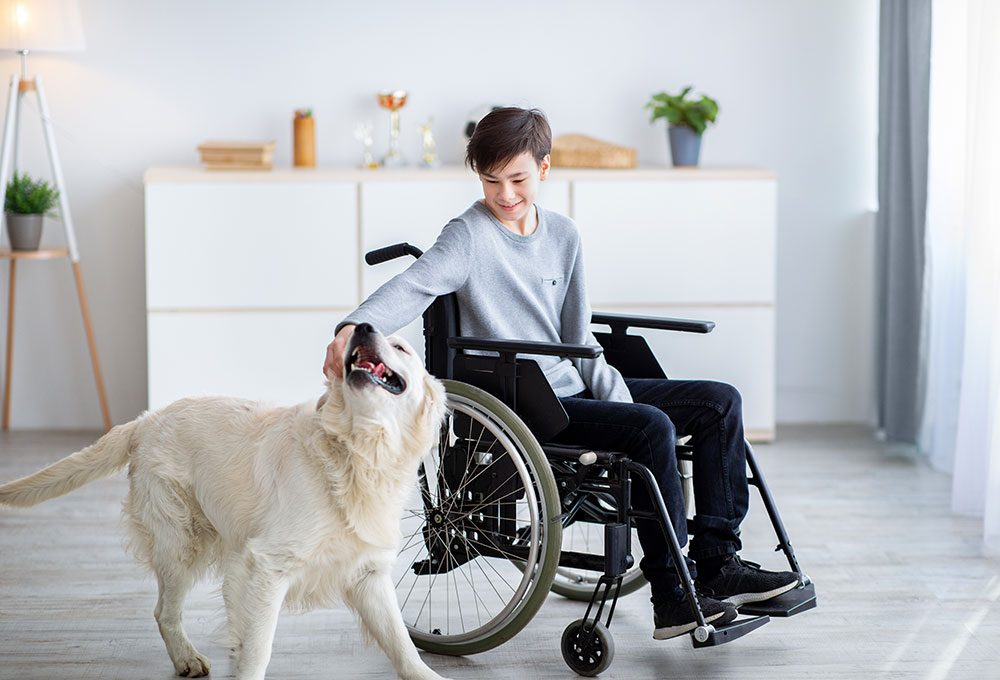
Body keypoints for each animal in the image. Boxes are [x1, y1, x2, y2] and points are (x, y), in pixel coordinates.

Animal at [0, 324, 450, 680]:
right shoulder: (268, 565)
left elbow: (400, 642)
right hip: (182, 541)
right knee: (165, 612)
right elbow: (260, 648)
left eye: (402, 348)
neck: (358, 453)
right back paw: (187, 658)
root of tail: (146, 420)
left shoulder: (367, 574)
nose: (362, 328)